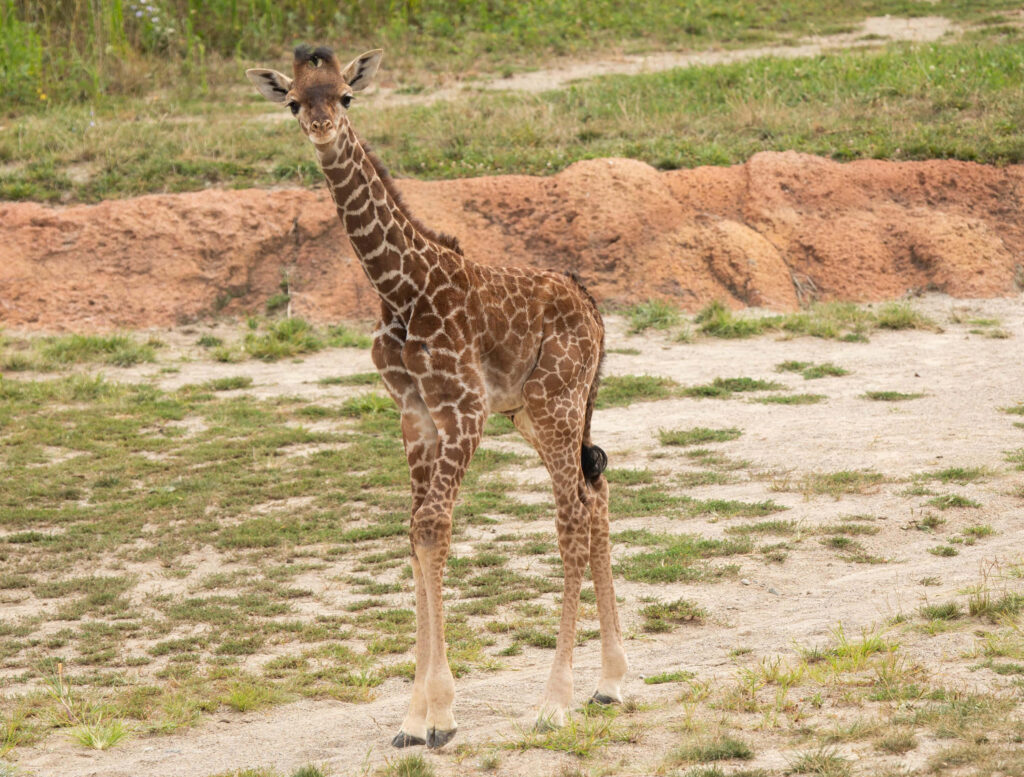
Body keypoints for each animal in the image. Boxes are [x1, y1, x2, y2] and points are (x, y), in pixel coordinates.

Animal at [247, 46, 628, 749]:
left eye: (345, 96)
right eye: (292, 101)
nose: (320, 127)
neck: (401, 289)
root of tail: (592, 305)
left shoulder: (463, 411)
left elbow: (434, 526)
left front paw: (442, 715)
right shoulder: (416, 415)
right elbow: (418, 530)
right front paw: (414, 719)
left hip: (558, 402)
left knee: (569, 518)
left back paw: (556, 700)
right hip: (533, 414)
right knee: (595, 492)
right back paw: (611, 682)